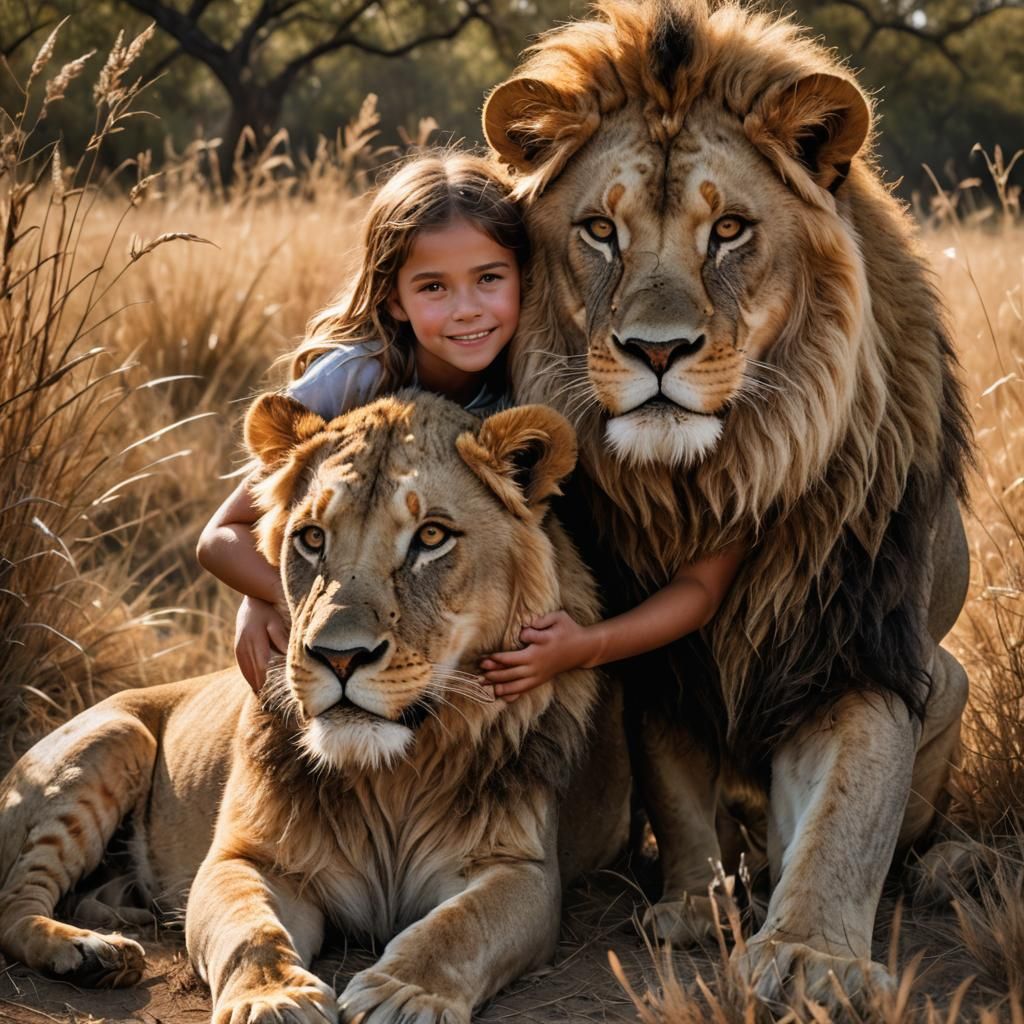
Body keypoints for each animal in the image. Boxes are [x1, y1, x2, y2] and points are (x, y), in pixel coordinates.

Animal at [0, 392, 630, 1023]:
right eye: (311, 537)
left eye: (431, 536)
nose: (339, 656)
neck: (393, 779)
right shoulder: (243, 859)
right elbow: (251, 931)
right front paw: (273, 998)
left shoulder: (522, 871)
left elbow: (459, 926)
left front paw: (402, 995)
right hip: (114, 737)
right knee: (12, 900)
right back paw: (89, 951)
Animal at [483, 0, 973, 1007]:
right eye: (601, 230)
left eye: (732, 231)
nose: (656, 350)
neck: (708, 482)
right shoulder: (659, 660)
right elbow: (675, 790)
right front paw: (693, 906)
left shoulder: (862, 641)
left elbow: (852, 811)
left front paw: (812, 955)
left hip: (952, 679)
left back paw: (952, 866)